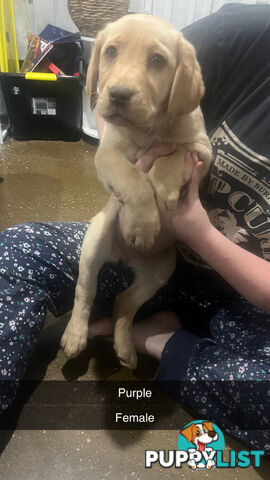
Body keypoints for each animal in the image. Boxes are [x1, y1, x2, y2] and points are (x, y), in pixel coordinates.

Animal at [61, 14, 213, 368]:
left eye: (157, 60)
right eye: (110, 51)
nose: (118, 94)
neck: (149, 128)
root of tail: (125, 257)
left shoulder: (202, 150)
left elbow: (175, 153)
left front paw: (164, 186)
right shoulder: (107, 155)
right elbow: (133, 178)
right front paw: (142, 224)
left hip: (159, 272)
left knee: (123, 303)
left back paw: (125, 347)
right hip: (95, 239)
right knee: (85, 291)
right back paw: (75, 336)